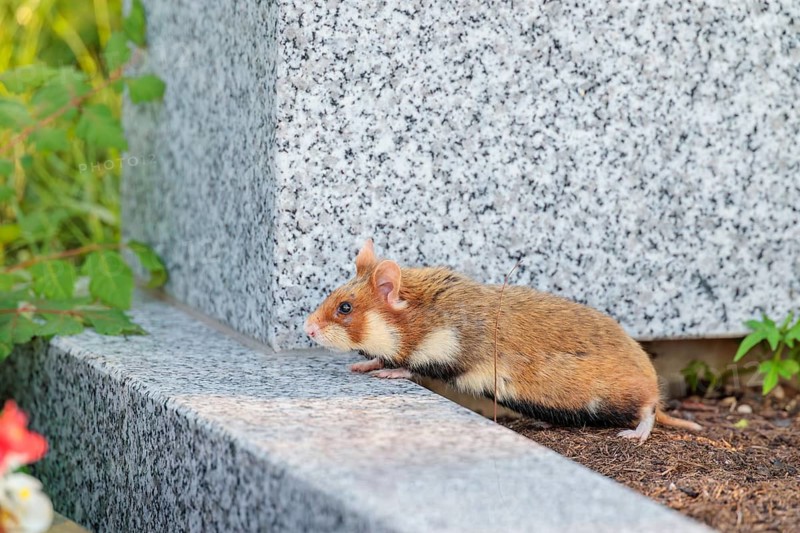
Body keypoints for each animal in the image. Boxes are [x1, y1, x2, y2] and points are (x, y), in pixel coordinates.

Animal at [304, 240, 701, 443]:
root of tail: (650, 377)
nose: (307, 329)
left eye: (344, 307)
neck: (427, 315)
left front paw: (388, 372)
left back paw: (635, 434)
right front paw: (364, 363)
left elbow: (414, 368)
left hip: (624, 397)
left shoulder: (448, 352)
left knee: (650, 408)